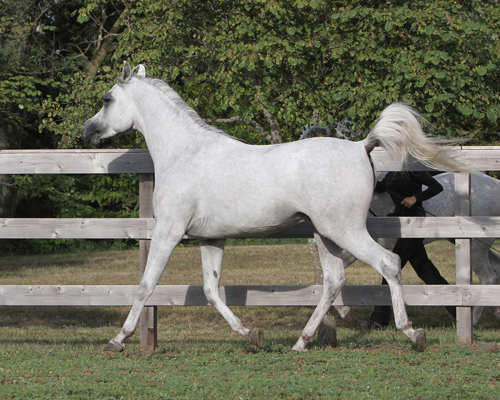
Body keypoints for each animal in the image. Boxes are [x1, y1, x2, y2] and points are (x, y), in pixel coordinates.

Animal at [83, 61, 468, 352]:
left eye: (106, 99)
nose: (87, 130)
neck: (185, 153)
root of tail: (362, 145)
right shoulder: (211, 239)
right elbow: (211, 291)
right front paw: (252, 334)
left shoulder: (169, 231)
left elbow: (146, 284)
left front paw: (117, 340)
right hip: (327, 235)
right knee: (334, 280)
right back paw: (302, 341)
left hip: (344, 230)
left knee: (388, 264)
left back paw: (412, 333)